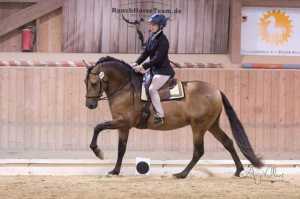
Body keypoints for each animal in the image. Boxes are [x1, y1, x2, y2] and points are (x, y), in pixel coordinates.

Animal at [84, 56, 262, 179]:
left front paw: (98, 152)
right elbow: (121, 148)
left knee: (199, 151)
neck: (125, 87)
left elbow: (98, 127)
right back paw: (238, 170)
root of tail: (216, 90)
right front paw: (115, 171)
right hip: (212, 125)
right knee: (228, 142)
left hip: (199, 127)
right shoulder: (123, 126)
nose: (89, 105)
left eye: (93, 83)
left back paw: (181, 174)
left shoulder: (123, 122)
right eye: (85, 82)